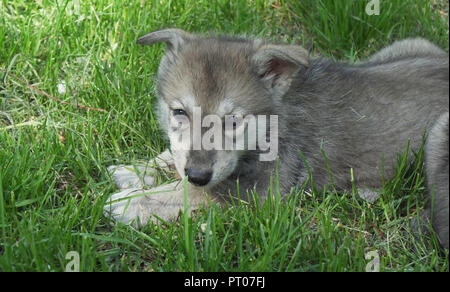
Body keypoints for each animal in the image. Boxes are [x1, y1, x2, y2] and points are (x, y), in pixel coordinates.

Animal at [104, 29, 446, 249]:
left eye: (233, 121)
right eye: (179, 112)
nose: (198, 174)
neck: (271, 127)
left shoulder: (261, 192)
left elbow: (193, 193)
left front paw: (132, 203)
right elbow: (173, 158)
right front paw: (136, 171)